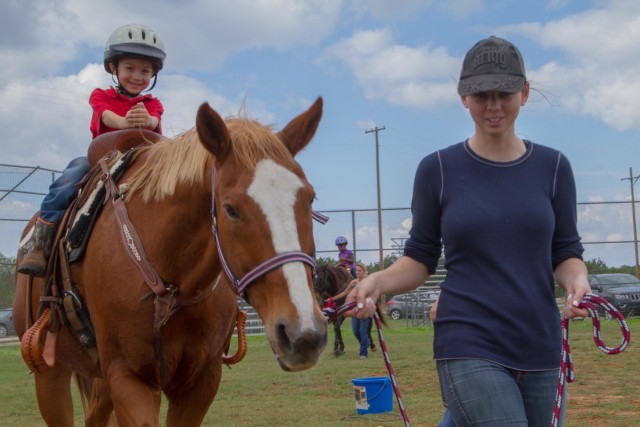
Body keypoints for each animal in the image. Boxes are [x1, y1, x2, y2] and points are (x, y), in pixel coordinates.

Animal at [12, 98, 328, 427]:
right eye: (230, 209)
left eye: (310, 199)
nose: (303, 332)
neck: (173, 283)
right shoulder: (127, 378)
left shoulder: (201, 381)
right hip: (50, 372)